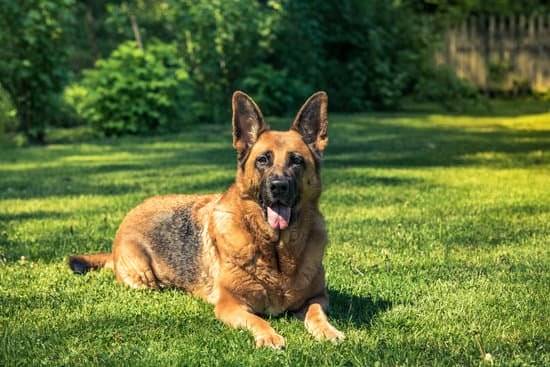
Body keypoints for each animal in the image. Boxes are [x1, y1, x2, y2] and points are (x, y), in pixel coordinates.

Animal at [69, 90, 344, 350]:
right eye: (262, 160)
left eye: (296, 160)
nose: (278, 187)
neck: (276, 252)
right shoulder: (230, 305)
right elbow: (257, 320)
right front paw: (269, 336)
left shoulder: (318, 297)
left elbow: (316, 314)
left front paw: (328, 331)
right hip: (143, 275)